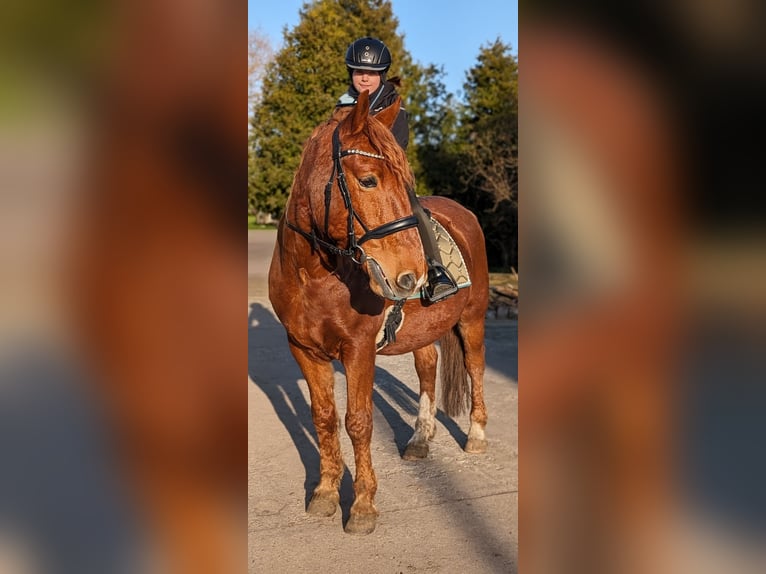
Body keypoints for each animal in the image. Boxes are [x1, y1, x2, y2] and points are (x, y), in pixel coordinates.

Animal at [268, 90, 488, 536]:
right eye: (368, 180)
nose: (412, 275)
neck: (314, 275)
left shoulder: (358, 349)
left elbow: (359, 421)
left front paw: (363, 505)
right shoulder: (303, 349)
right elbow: (323, 419)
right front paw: (325, 493)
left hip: (472, 319)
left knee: (475, 367)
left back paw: (475, 435)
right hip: (426, 330)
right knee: (427, 368)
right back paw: (420, 440)